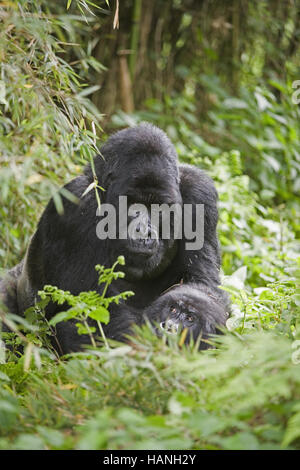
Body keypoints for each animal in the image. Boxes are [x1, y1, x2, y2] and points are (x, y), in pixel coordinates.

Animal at [0, 123, 230, 350]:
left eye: (159, 207)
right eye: (131, 204)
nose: (143, 231)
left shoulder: (200, 194)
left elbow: (202, 282)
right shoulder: (74, 203)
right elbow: (87, 313)